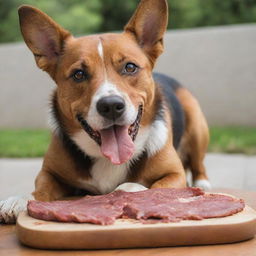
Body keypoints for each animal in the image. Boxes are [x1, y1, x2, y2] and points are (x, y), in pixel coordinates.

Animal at [0, 0, 211, 223]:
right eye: (79, 74)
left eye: (130, 67)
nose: (111, 106)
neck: (106, 157)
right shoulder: (48, 173)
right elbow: (40, 188)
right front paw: (19, 199)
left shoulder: (174, 174)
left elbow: (146, 186)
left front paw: (127, 190)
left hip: (197, 126)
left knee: (198, 163)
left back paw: (202, 182)